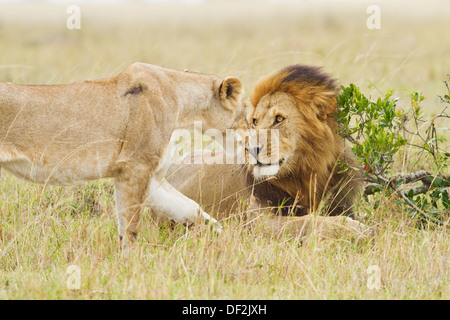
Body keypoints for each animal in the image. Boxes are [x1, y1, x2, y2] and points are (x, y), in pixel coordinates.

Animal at [0, 62, 244, 248]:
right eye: (248, 117)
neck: (182, 102)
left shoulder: (148, 175)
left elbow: (189, 207)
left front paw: (226, 239)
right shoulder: (134, 167)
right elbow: (130, 227)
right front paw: (131, 263)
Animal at [163, 65, 368, 239]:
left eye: (279, 119)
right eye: (255, 121)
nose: (250, 149)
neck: (306, 174)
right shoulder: (255, 223)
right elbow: (308, 221)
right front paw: (353, 228)